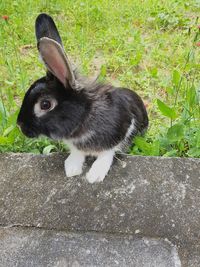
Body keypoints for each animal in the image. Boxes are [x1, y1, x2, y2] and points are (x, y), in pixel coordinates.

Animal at [17, 13, 148, 184]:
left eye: (45, 104)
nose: (20, 125)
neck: (84, 116)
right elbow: (77, 153)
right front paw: (71, 169)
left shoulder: (122, 130)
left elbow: (107, 154)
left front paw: (94, 175)